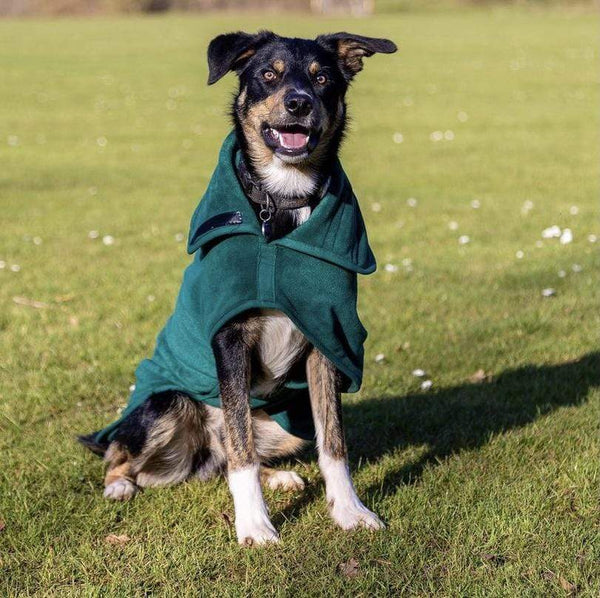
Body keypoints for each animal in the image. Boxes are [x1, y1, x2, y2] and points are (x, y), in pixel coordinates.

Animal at [81, 31, 398, 548]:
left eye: (322, 78)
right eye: (267, 74)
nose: (298, 102)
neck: (282, 203)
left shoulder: (326, 340)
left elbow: (333, 443)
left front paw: (349, 511)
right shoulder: (230, 337)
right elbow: (242, 455)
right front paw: (255, 526)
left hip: (285, 424)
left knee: (230, 452)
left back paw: (281, 476)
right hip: (167, 406)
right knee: (134, 453)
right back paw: (120, 485)